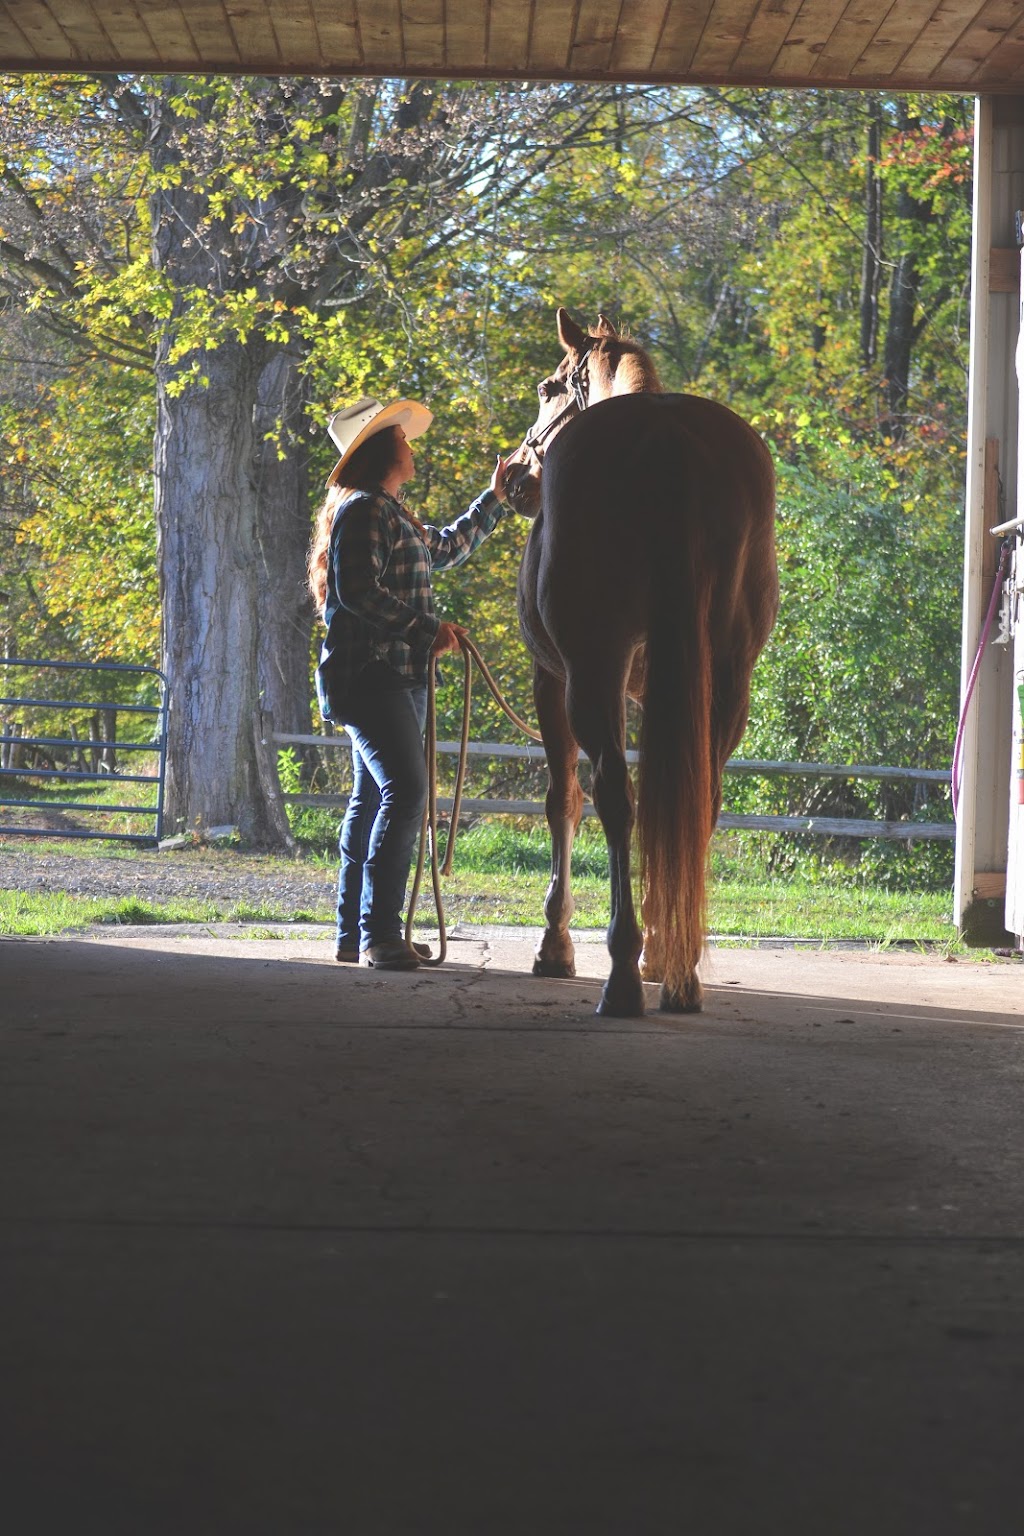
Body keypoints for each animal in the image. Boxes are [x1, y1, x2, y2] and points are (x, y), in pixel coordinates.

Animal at [503, 305, 776, 1013]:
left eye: (548, 388)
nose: (514, 475)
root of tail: (668, 442)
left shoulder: (554, 679)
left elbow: (563, 801)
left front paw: (555, 946)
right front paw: (660, 945)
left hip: (592, 674)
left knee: (614, 799)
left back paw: (624, 972)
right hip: (727, 679)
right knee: (699, 798)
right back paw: (675, 969)